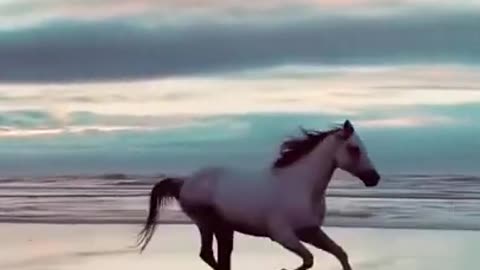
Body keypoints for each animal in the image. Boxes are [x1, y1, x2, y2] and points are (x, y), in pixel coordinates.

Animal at [135, 119, 378, 270]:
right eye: (354, 149)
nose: (374, 178)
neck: (300, 186)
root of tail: (185, 181)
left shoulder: (310, 231)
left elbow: (340, 253)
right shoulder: (283, 235)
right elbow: (308, 259)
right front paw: (284, 268)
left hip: (225, 228)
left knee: (221, 257)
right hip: (207, 223)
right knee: (208, 255)